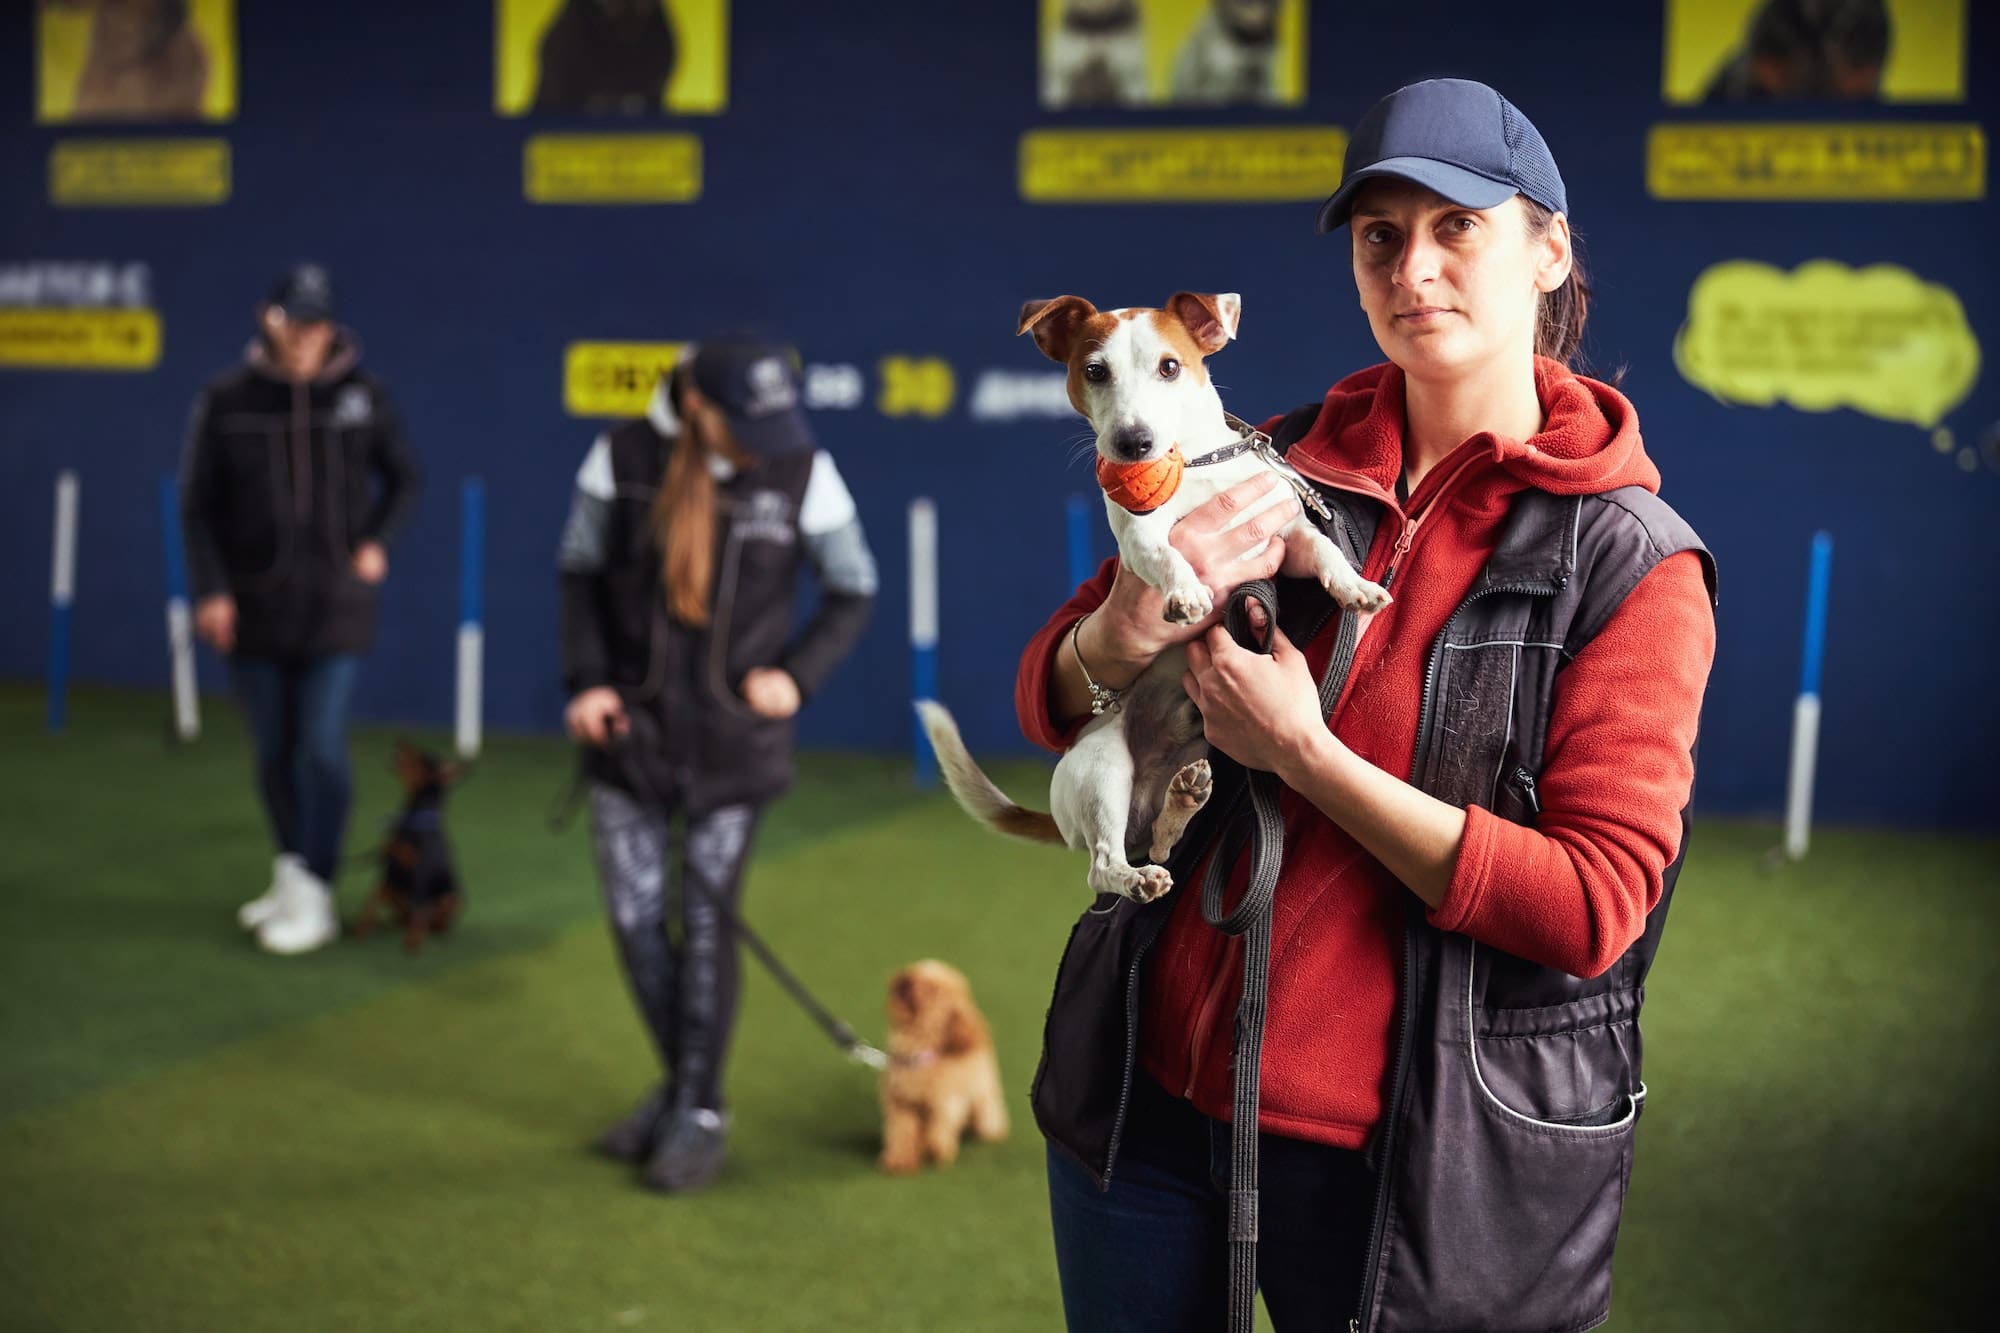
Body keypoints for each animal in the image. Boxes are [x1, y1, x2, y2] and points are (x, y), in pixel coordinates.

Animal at [356, 740, 468, 948]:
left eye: (422, 756)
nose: (400, 740)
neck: (413, 818)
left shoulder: (421, 871)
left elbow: (419, 908)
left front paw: (414, 942)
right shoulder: (389, 867)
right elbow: (371, 900)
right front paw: (362, 929)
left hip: (453, 895)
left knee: (432, 915)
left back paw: (434, 927)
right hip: (397, 891)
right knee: (405, 911)